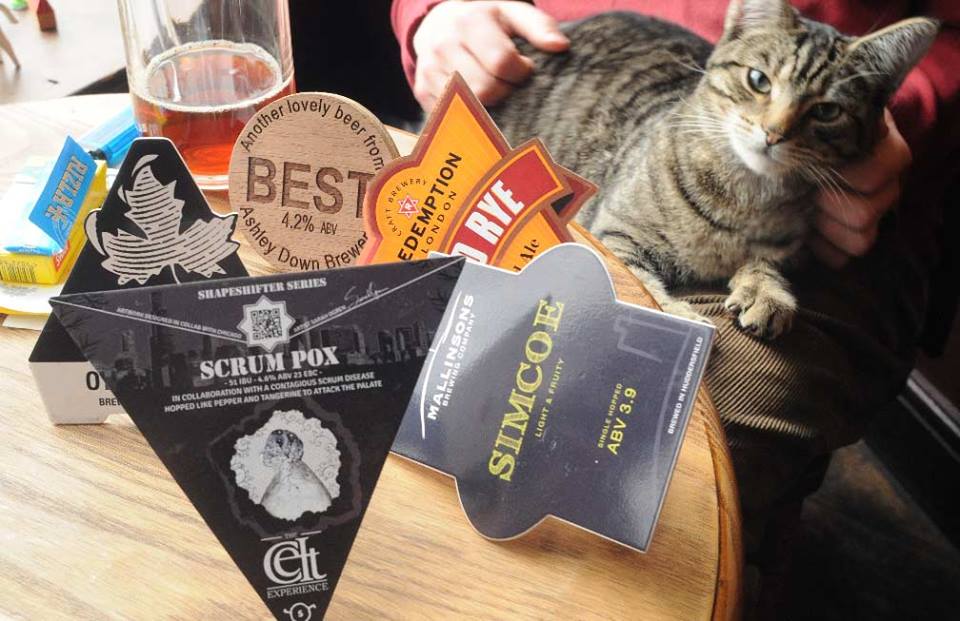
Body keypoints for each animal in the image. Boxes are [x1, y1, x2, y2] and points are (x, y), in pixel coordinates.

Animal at [489, 0, 938, 339]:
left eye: (827, 111)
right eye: (759, 80)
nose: (773, 133)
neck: (744, 198)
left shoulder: (795, 246)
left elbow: (769, 261)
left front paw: (765, 290)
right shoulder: (613, 232)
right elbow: (636, 284)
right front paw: (674, 316)